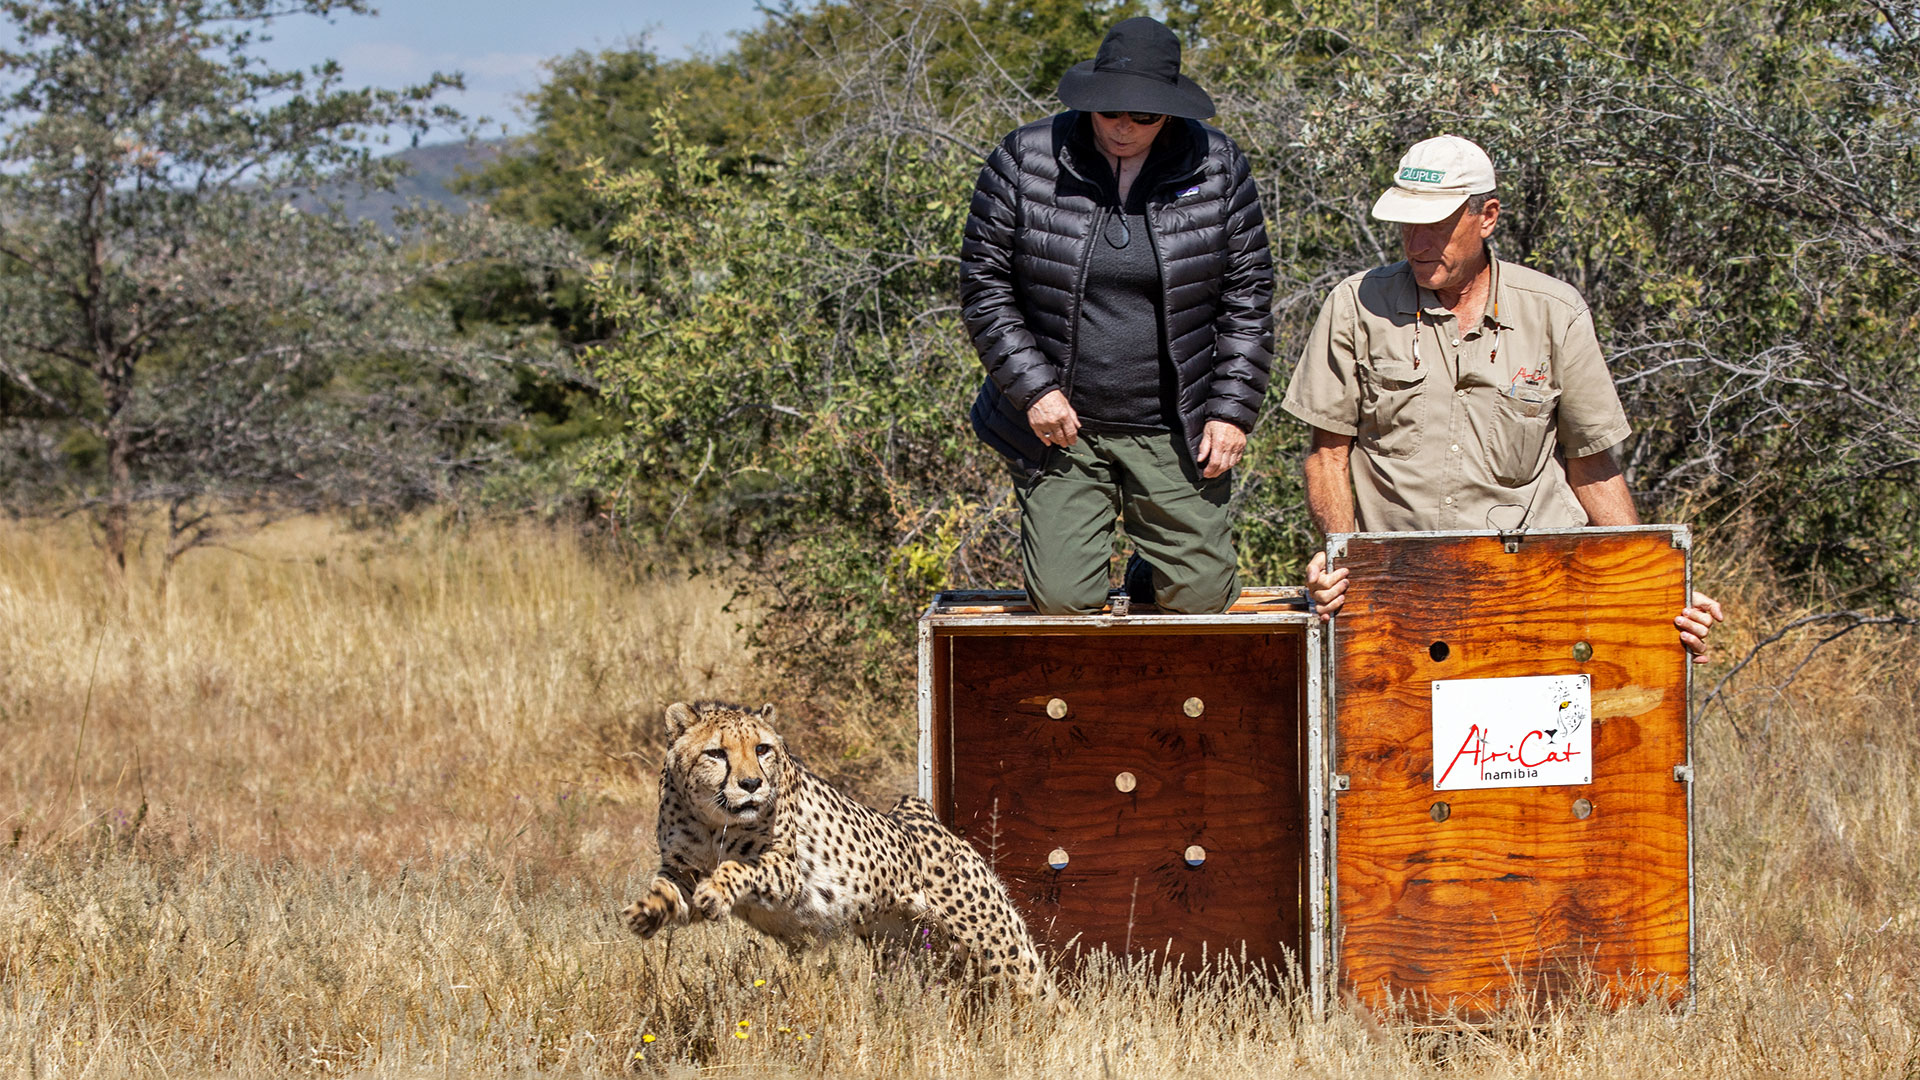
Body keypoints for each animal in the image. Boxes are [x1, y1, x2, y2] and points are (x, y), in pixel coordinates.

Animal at [625, 699, 1052, 991]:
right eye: (715, 753)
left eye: (762, 749)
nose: (751, 784)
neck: (715, 821)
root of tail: (920, 815)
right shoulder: (682, 868)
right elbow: (667, 888)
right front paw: (646, 912)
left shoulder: (787, 871)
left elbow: (738, 868)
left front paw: (716, 890)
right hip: (904, 949)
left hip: (997, 944)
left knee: (1041, 990)